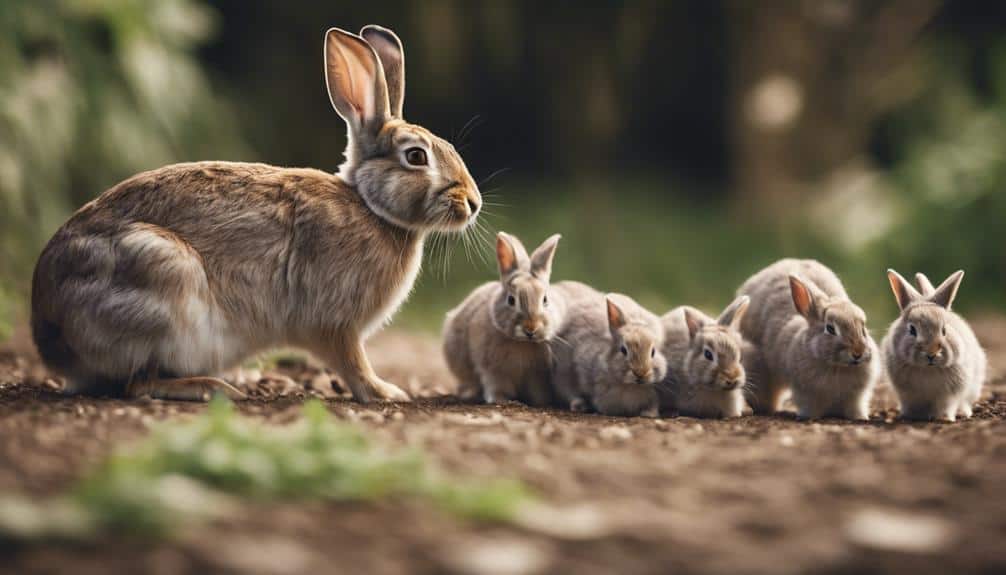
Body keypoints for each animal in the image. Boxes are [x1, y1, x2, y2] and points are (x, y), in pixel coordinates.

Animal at [30, 25, 481, 403]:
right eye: (416, 156)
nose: (474, 203)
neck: (372, 209)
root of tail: (51, 335)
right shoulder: (337, 324)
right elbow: (353, 362)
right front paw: (385, 392)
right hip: (163, 280)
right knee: (138, 383)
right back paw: (214, 388)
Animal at [442, 231, 566, 406]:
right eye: (511, 300)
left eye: (545, 299)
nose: (531, 328)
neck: (522, 343)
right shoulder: (492, 370)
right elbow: (496, 385)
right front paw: (500, 399)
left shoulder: (536, 374)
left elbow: (537, 390)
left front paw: (541, 403)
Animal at [737, 259, 879, 420]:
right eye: (830, 329)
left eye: (863, 329)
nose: (857, 353)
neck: (838, 367)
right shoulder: (805, 392)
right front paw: (808, 417)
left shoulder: (856, 397)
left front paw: (860, 417)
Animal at [882, 270, 986, 422]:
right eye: (912, 330)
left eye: (944, 330)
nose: (931, 353)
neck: (928, 369)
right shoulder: (907, 395)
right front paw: (909, 417)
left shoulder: (949, 396)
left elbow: (945, 407)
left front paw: (944, 418)